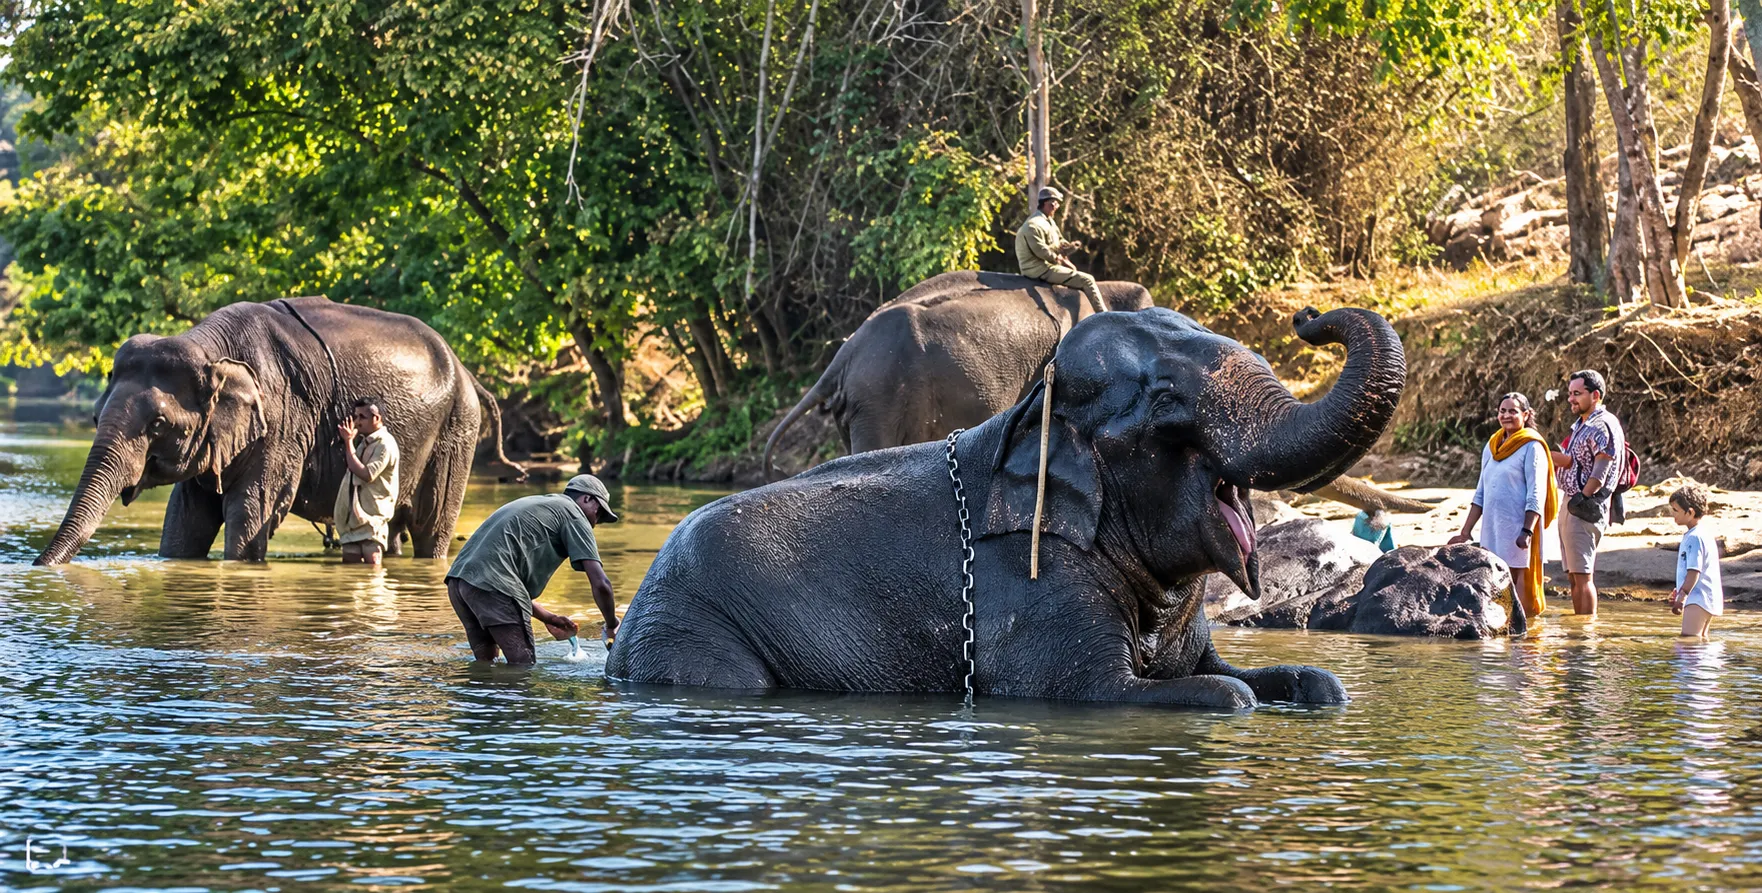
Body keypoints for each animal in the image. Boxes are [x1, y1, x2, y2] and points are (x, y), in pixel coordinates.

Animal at [35, 297, 523, 565]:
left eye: (158, 424)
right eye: (94, 418)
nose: (38, 565)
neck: (211, 349)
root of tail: (467, 370)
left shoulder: (285, 421)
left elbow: (252, 510)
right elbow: (186, 518)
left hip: (456, 431)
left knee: (431, 526)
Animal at [607, 305, 1406, 708]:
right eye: (1166, 401)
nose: (1307, 315)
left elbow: (1298, 680)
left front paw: (1305, 686)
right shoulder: (1031, 590)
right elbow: (1190, 692)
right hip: (691, 633)